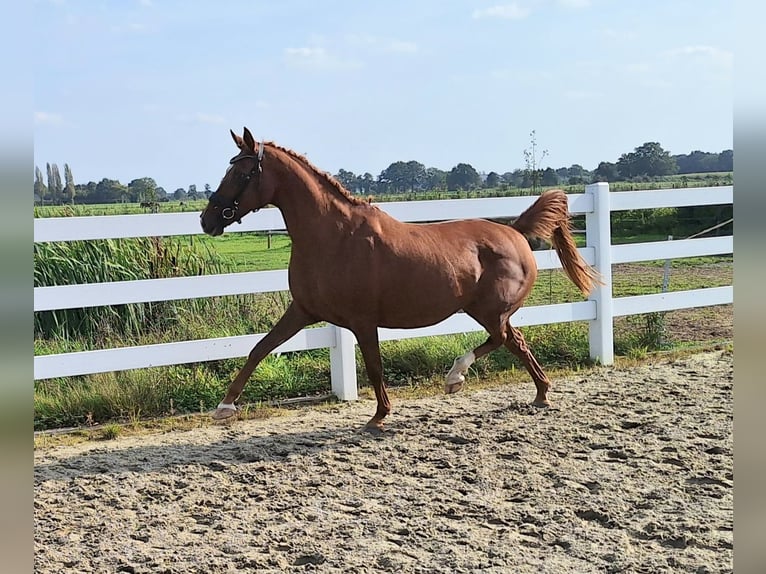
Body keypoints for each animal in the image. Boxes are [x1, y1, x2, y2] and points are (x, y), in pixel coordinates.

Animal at [201, 127, 604, 432]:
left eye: (240, 174)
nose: (207, 220)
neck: (333, 236)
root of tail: (516, 231)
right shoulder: (303, 310)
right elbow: (259, 348)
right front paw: (224, 407)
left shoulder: (362, 321)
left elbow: (375, 366)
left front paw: (379, 416)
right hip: (487, 310)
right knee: (515, 341)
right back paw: (536, 393)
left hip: (489, 310)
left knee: (505, 339)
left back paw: (460, 378)